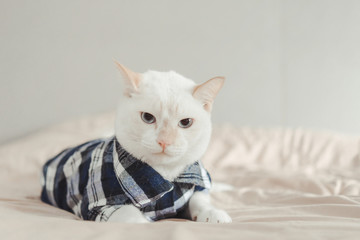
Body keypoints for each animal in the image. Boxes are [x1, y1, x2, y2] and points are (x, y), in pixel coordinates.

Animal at [110, 62, 231, 224]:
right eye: (147, 117)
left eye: (186, 122)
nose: (164, 141)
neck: (166, 173)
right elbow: (125, 210)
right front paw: (139, 221)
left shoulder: (194, 190)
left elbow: (199, 198)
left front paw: (211, 212)